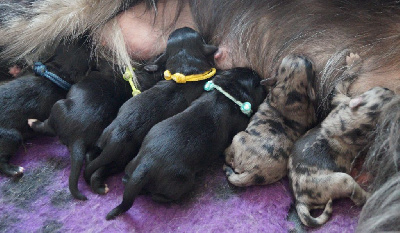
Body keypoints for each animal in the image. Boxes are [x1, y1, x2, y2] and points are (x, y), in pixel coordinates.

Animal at [82, 26, 217, 195]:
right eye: (200, 36)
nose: (183, 27)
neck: (185, 68)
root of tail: (117, 135)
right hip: (121, 157)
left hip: (103, 141)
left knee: (92, 157)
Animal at [108, 67, 268, 220]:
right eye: (256, 80)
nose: (256, 72)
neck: (226, 94)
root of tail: (146, 164)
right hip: (182, 182)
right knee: (160, 196)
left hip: (133, 163)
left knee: (126, 178)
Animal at [290, 84, 396, 227]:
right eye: (386, 90)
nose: (392, 90)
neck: (365, 113)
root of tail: (300, 199)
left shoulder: (342, 103)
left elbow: (337, 94)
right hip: (341, 180)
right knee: (358, 196)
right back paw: (370, 196)